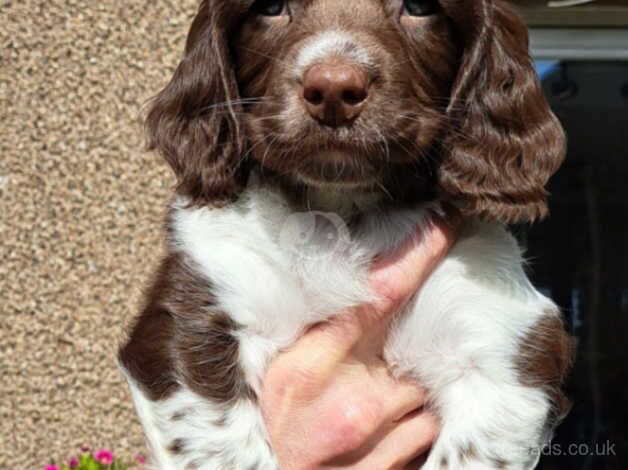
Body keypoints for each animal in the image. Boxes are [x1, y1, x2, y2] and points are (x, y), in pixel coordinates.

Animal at [119, 1, 576, 468]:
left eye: (419, 8)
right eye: (271, 7)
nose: (334, 90)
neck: (341, 213)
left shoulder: (505, 353)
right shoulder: (193, 318)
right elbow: (224, 448)